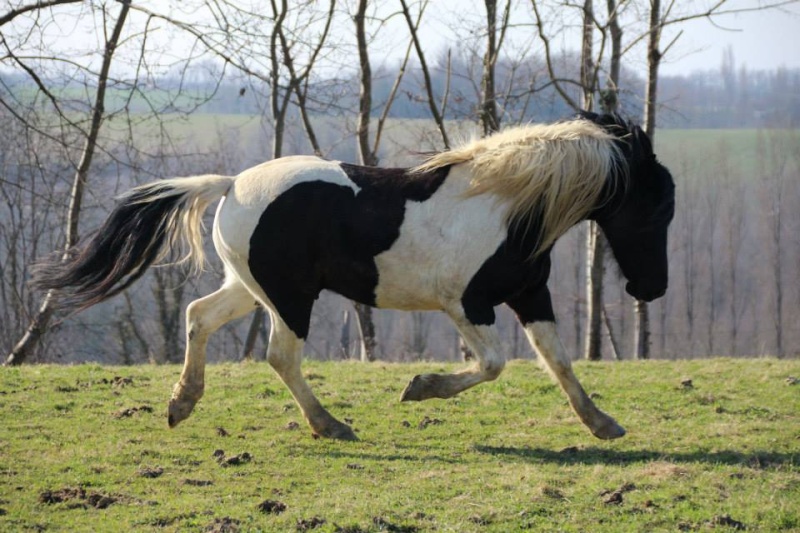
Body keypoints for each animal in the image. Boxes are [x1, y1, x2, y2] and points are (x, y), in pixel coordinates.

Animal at [36, 111, 676, 440]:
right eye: (659, 207)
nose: (652, 289)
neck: (503, 204)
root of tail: (232, 183)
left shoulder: (529, 294)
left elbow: (558, 360)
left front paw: (602, 423)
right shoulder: (466, 305)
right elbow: (493, 364)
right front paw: (419, 389)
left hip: (251, 288)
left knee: (199, 317)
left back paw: (182, 404)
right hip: (289, 298)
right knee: (279, 356)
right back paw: (329, 425)